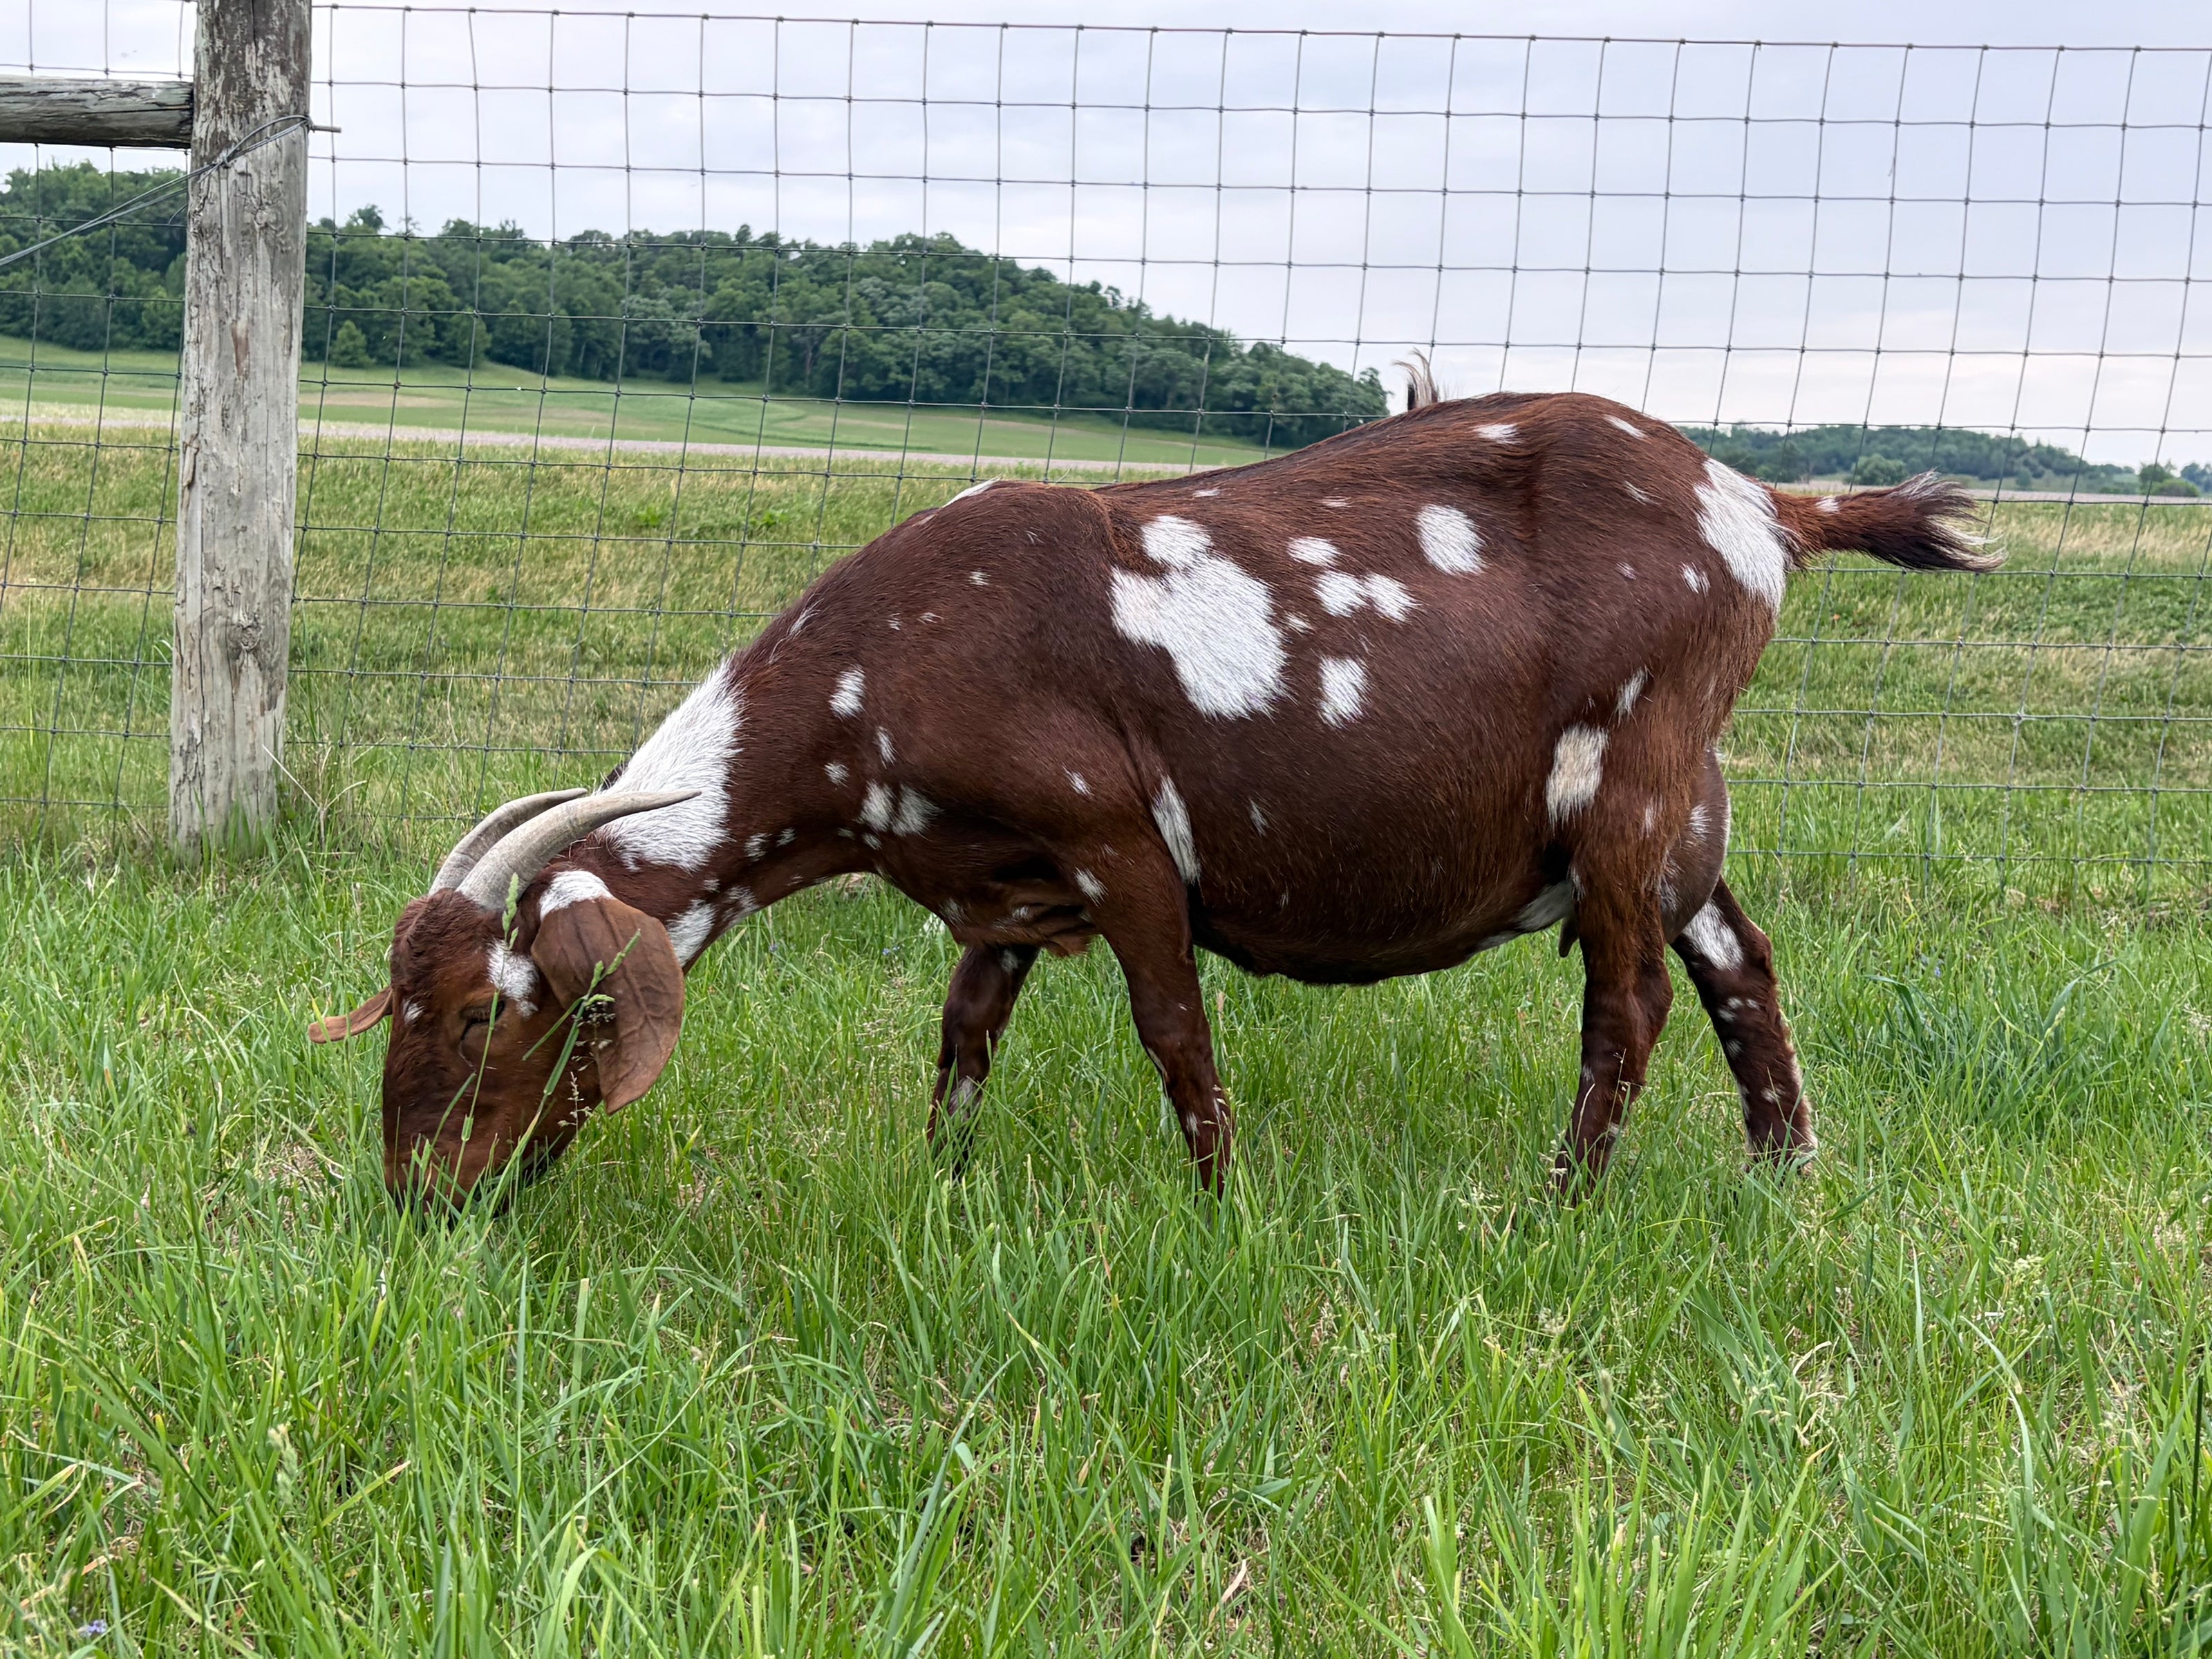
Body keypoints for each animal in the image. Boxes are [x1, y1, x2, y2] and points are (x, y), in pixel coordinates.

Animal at [310, 387, 1993, 1205]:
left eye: (488, 1019)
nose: (421, 1203)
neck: (887, 671)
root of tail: (1763, 506)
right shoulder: (996, 887)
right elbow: (963, 1041)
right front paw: (943, 1189)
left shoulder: (1116, 841)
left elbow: (1176, 1033)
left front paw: (1216, 1210)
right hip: (1683, 815)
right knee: (1739, 970)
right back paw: (1783, 1180)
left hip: (1631, 783)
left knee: (1628, 1004)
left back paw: (1560, 1207)